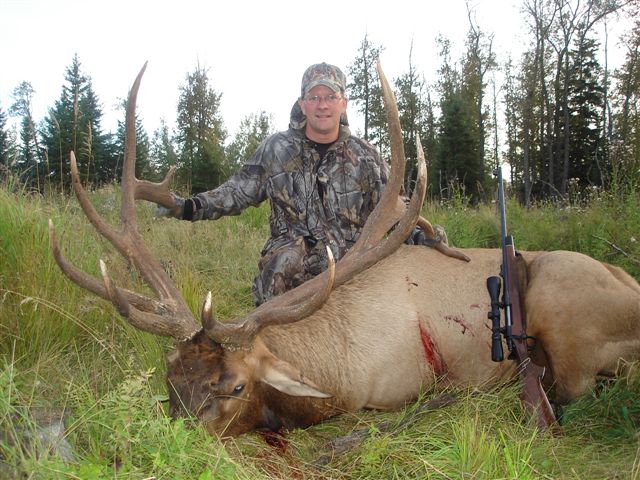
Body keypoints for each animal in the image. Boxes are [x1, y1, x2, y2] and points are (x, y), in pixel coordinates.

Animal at [48, 62, 640, 438]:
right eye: (170, 377)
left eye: (234, 386)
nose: (173, 443)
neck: (338, 367)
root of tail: (628, 281)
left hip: (565, 309)